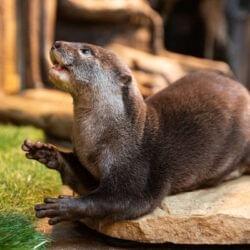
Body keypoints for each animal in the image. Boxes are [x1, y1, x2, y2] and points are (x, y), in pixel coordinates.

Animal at [22, 41, 250, 225]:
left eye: (86, 50)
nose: (56, 43)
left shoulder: (136, 167)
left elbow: (121, 200)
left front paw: (65, 207)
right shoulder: (89, 166)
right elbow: (81, 179)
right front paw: (46, 152)